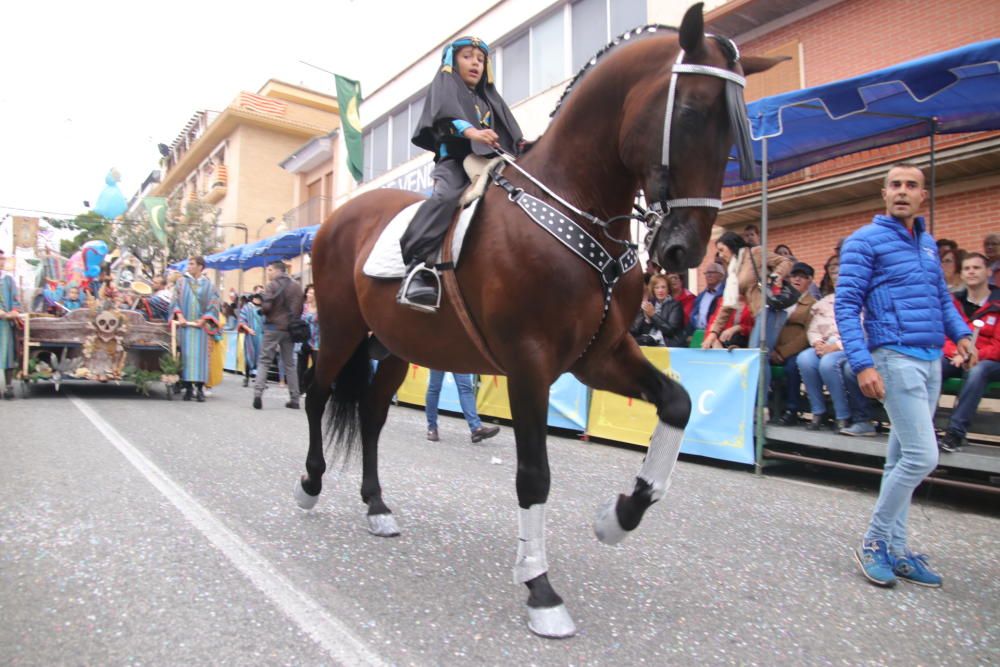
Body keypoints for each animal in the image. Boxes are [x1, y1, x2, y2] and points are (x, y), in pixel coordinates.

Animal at [300, 3, 784, 636]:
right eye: (691, 110)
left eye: (736, 128)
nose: (684, 249)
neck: (570, 202)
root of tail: (336, 221)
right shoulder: (529, 363)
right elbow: (534, 474)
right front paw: (540, 587)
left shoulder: (599, 355)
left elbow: (677, 405)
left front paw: (619, 515)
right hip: (339, 331)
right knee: (315, 396)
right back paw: (311, 484)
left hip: (394, 348)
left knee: (373, 415)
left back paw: (377, 505)